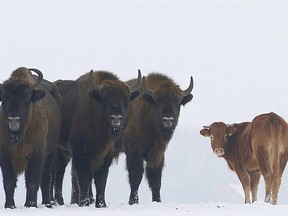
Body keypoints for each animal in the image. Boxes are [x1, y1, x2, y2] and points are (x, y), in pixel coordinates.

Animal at [0, 67, 60, 208]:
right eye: (3, 98)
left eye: (27, 97)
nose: (14, 120)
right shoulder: (5, 153)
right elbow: (9, 181)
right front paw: (9, 205)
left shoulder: (37, 153)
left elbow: (33, 181)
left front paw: (32, 205)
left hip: (51, 153)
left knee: (45, 179)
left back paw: (46, 203)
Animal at [54, 69, 142, 208]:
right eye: (105, 98)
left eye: (126, 99)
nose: (116, 118)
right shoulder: (80, 152)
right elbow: (85, 176)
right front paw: (84, 203)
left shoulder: (107, 154)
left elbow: (101, 178)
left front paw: (101, 204)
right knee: (56, 172)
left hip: (64, 152)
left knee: (59, 171)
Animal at [119, 72, 194, 204]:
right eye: (157, 100)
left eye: (178, 101)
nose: (168, 120)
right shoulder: (134, 151)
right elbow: (136, 176)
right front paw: (133, 201)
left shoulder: (157, 154)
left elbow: (155, 180)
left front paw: (157, 201)